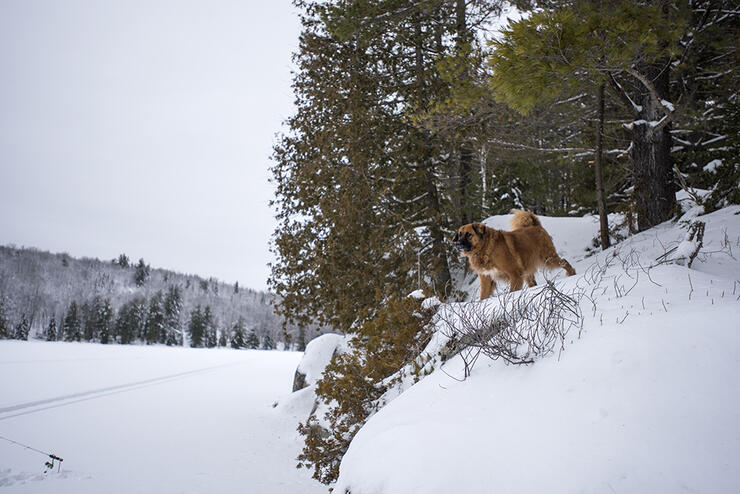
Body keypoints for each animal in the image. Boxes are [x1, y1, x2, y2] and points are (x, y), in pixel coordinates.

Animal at [450, 209, 580, 300]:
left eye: (468, 234)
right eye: (459, 234)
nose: (458, 244)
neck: (484, 248)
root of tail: (535, 225)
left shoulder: (514, 274)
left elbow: (512, 291)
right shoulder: (487, 278)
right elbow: (484, 296)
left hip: (547, 259)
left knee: (564, 261)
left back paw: (572, 273)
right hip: (528, 270)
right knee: (533, 282)